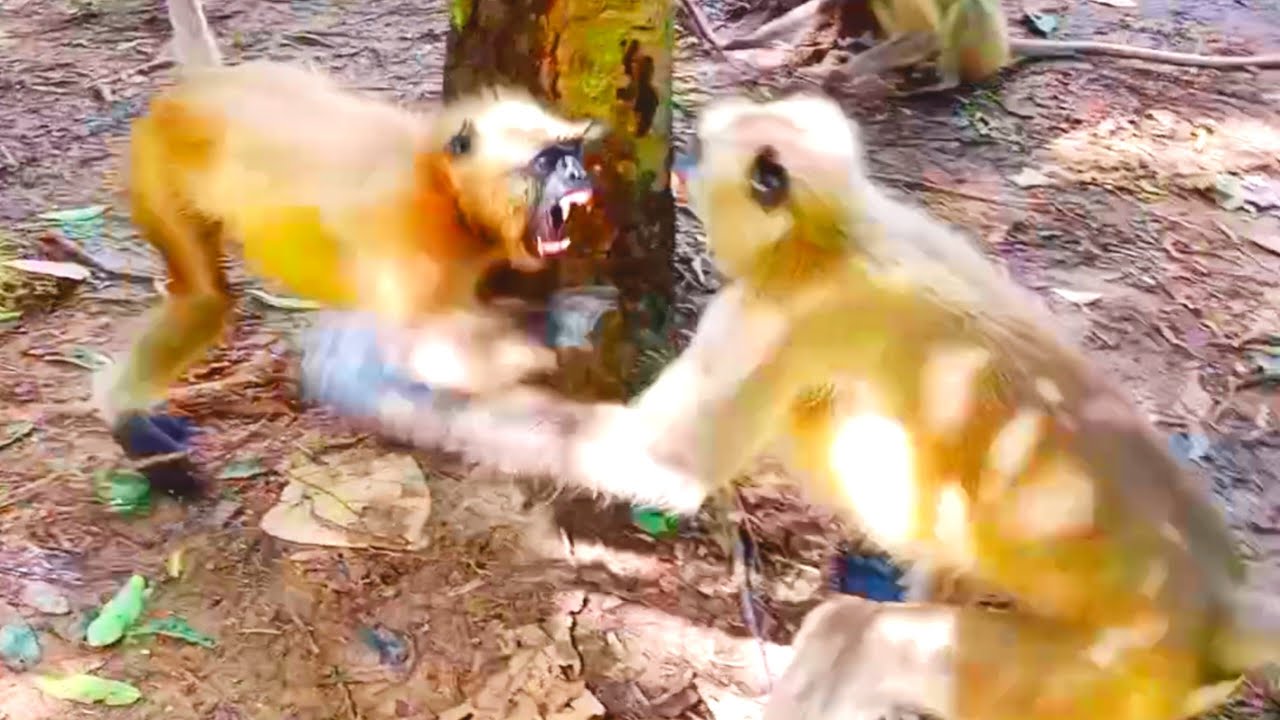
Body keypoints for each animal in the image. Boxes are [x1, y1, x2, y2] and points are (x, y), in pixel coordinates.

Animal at [94, 0, 603, 496]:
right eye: (548, 162)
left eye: (571, 152)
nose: (578, 173)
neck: (439, 184)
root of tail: (208, 87)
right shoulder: (408, 230)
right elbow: (419, 354)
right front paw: (557, 321)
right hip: (157, 159)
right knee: (204, 300)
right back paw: (125, 420)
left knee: (204, 301)